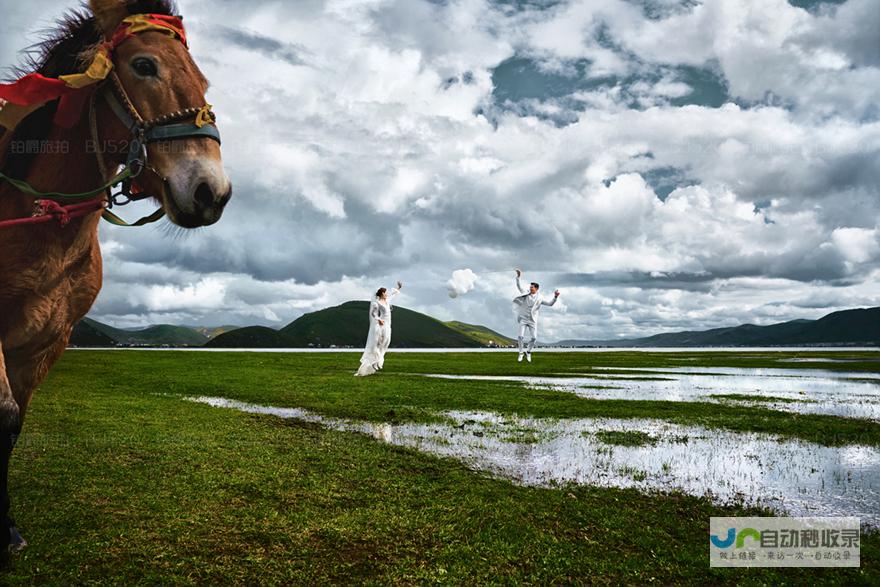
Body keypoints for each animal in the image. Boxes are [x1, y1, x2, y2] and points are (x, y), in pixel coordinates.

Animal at [0, 0, 232, 556]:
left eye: (203, 82)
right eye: (144, 65)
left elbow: (14, 421)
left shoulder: (48, 339)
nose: (212, 191)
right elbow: (1, 415)